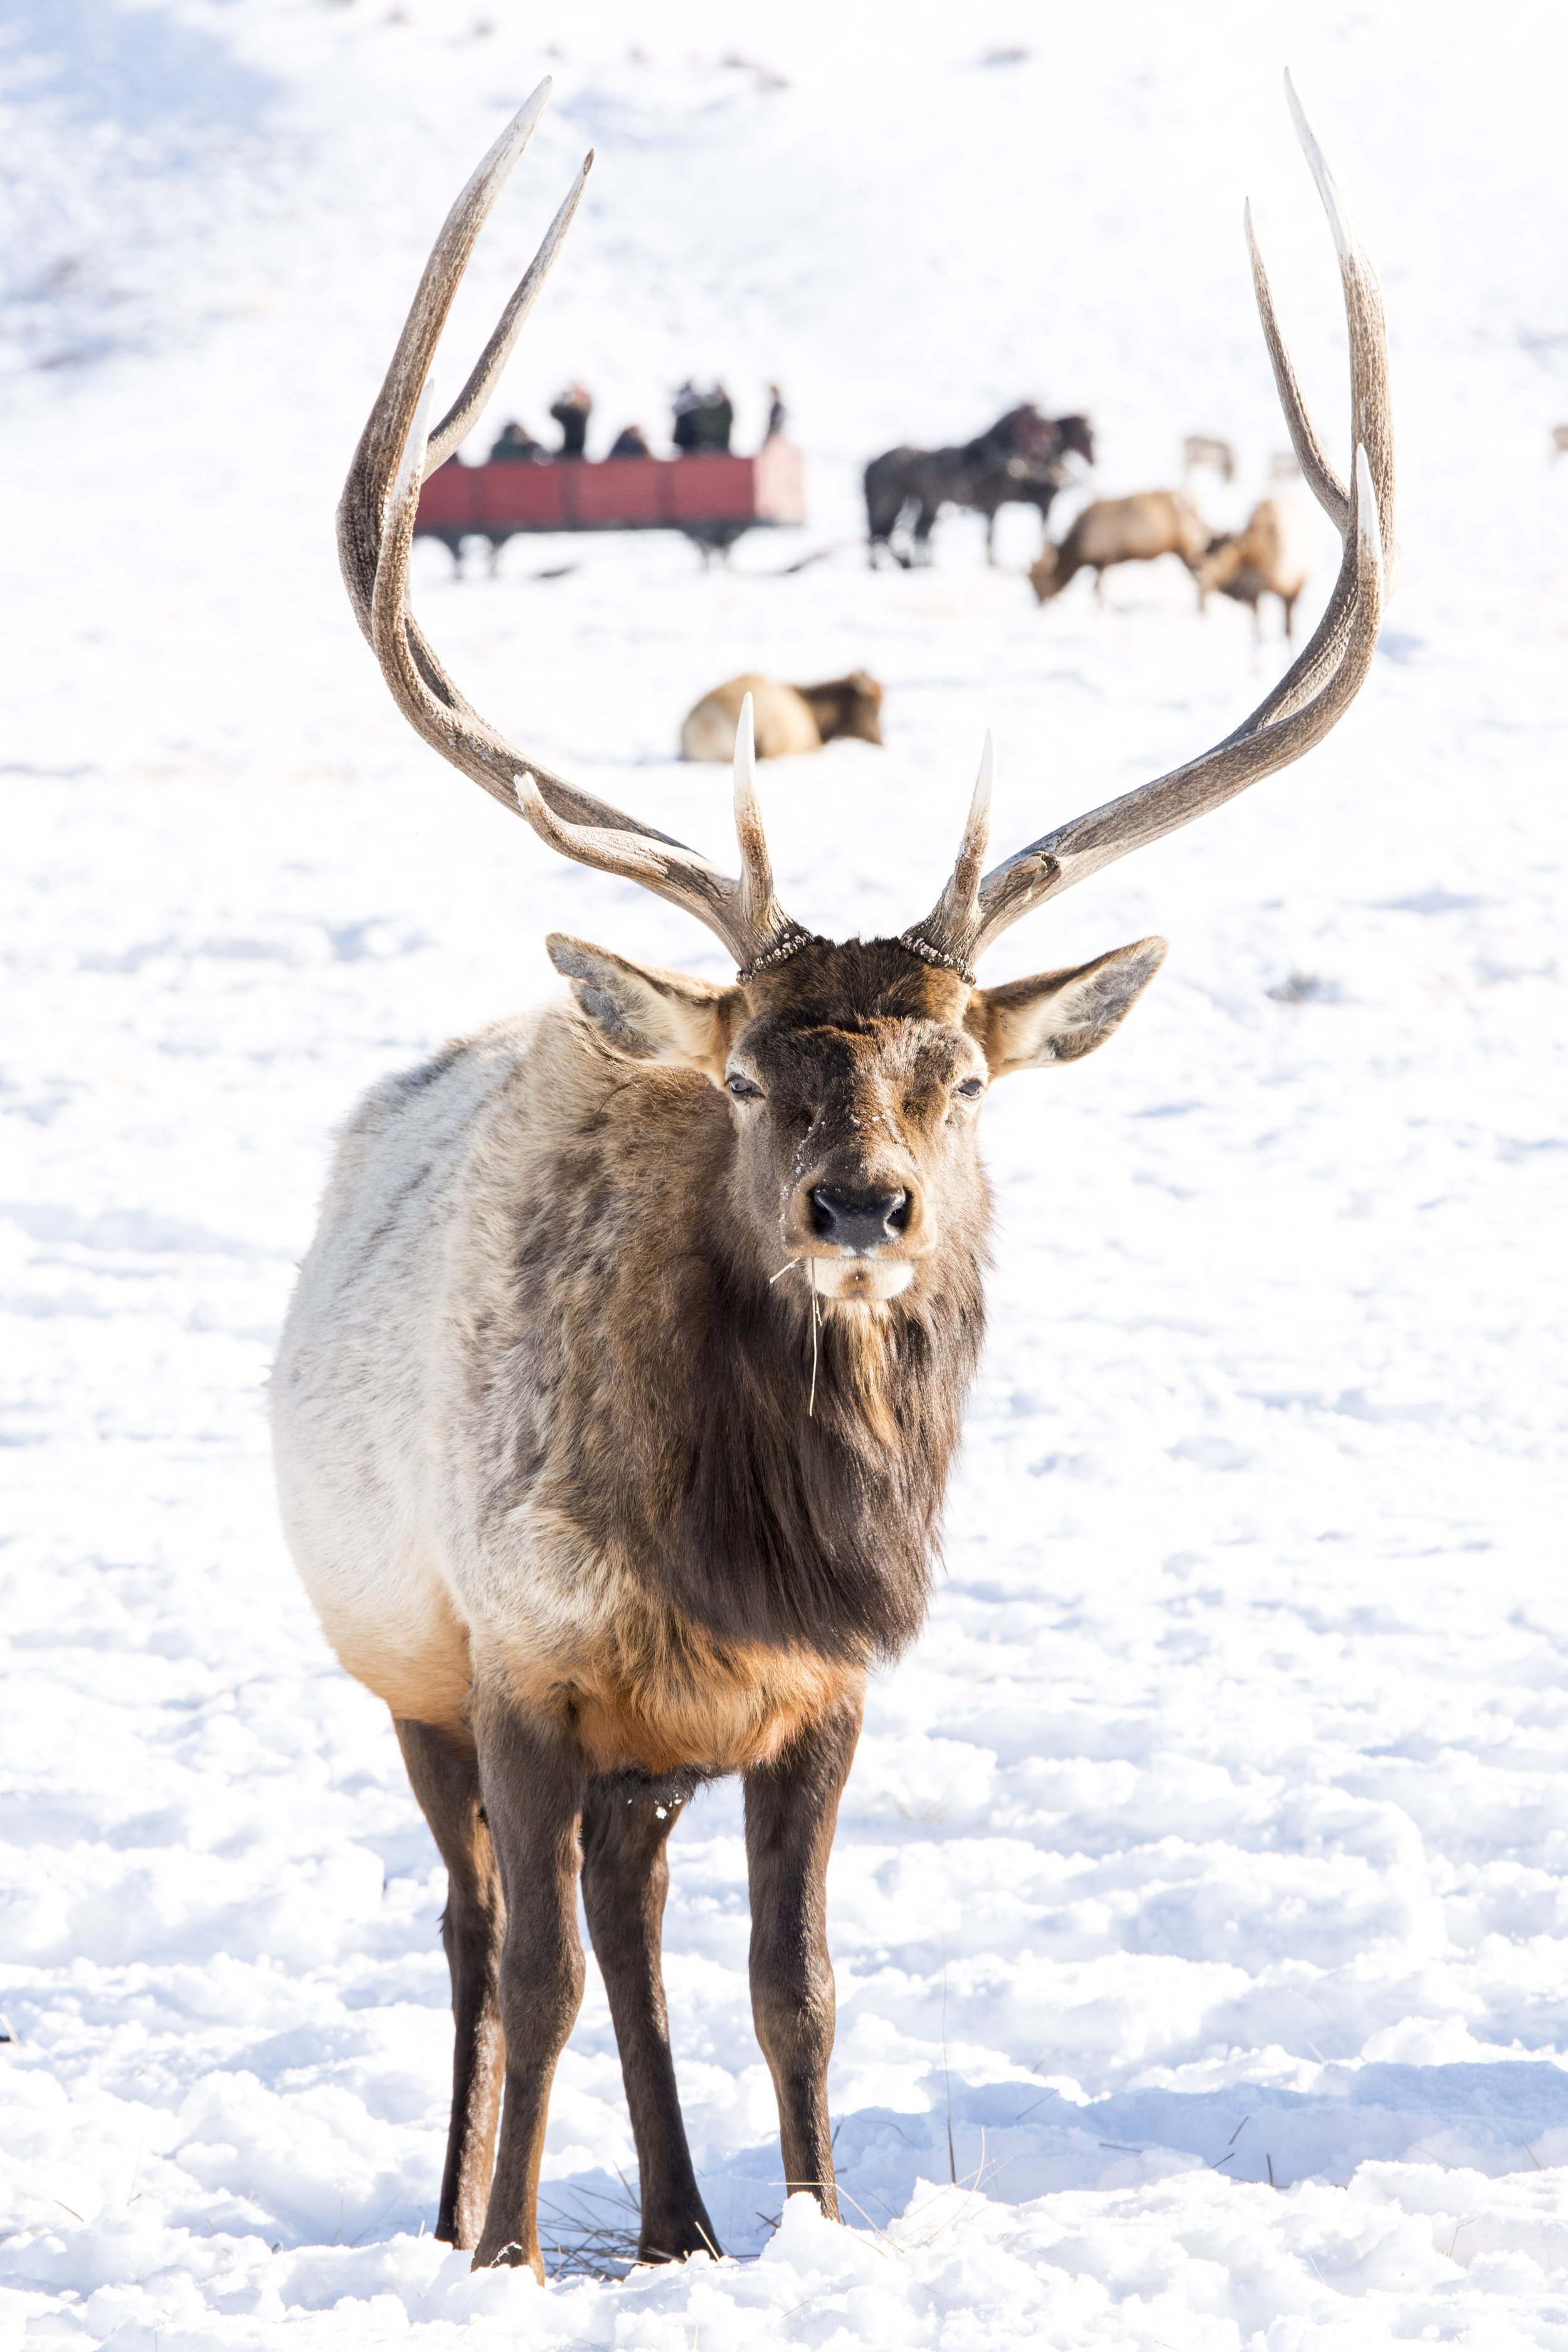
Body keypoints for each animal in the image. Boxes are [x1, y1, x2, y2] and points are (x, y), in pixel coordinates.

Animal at [270, 71, 1390, 2281]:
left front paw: (815, 2223)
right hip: (393, 1657)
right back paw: (469, 2213)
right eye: (744, 1078)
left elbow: (795, 1984)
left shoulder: (813, 1693)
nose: (858, 1207)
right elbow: (527, 1967)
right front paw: (507, 2256)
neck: (733, 1544)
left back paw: (683, 2224)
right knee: (480, 1926)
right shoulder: (513, 1654)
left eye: (957, 1075)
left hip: (646, 1750)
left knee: (628, 1911)